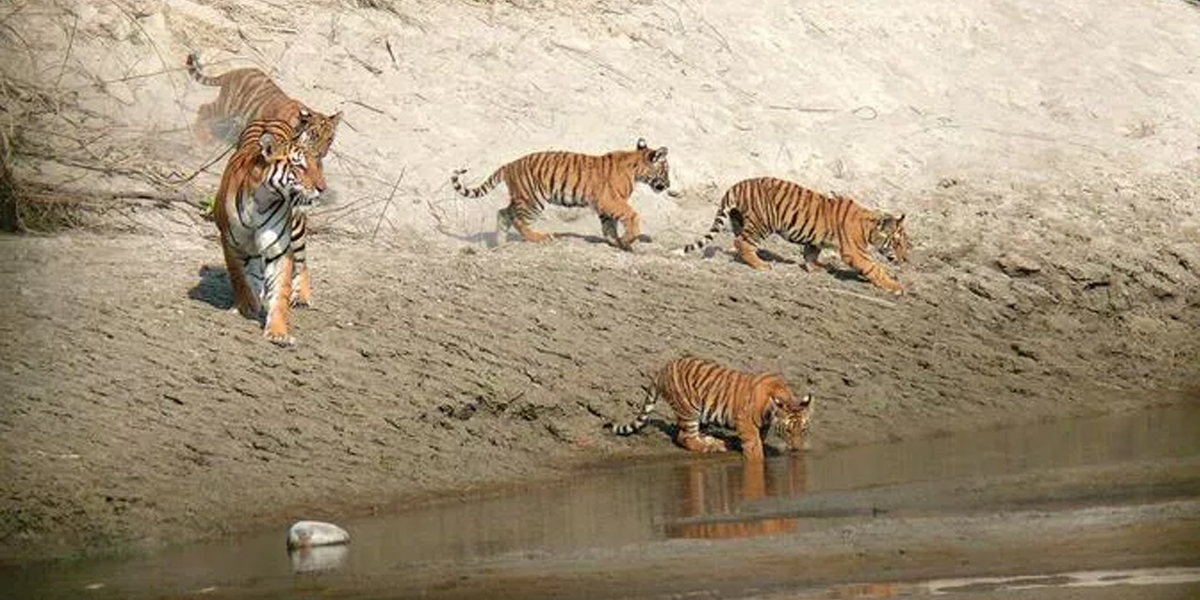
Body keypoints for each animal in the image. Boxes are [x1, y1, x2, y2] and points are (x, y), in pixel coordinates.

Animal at [212, 118, 326, 346]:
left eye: (315, 164)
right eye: (299, 165)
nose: (322, 188)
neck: (263, 200)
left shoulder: (280, 250)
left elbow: (280, 292)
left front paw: (278, 332)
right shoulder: (231, 243)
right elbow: (240, 278)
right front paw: (248, 306)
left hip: (297, 228)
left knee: (303, 262)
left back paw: (302, 297)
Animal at [449, 138, 670, 250]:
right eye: (666, 170)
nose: (668, 185)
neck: (636, 169)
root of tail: (510, 164)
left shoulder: (605, 205)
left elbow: (609, 227)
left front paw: (618, 242)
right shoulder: (611, 200)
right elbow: (632, 215)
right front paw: (628, 240)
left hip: (521, 197)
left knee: (503, 213)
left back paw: (500, 244)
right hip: (533, 200)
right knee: (519, 221)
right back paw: (541, 238)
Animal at [609, 356, 814, 461]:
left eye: (803, 429)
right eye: (788, 430)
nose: (796, 449)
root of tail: (664, 368)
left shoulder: (761, 425)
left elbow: (759, 439)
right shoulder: (745, 422)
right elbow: (754, 446)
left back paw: (715, 441)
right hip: (689, 410)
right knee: (685, 437)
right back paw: (712, 446)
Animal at [680, 176, 909, 294]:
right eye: (897, 243)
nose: (905, 259)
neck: (869, 227)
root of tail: (738, 185)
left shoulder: (815, 239)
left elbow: (810, 253)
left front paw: (815, 268)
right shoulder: (855, 252)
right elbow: (874, 268)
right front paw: (895, 286)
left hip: (741, 220)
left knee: (738, 242)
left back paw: (752, 258)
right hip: (763, 223)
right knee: (741, 242)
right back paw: (761, 265)